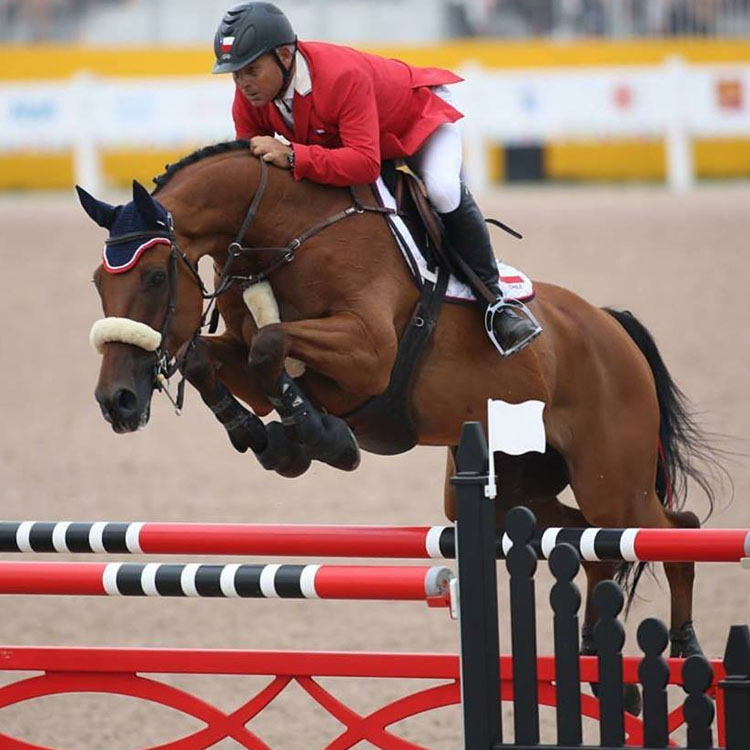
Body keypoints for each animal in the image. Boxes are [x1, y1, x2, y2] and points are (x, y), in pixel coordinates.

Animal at [78, 141, 724, 676]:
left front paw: (320, 439)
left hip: (613, 483)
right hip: (519, 488)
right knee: (584, 544)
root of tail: (612, 328)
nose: (117, 401)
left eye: (155, 276)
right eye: (98, 284)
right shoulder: (254, 361)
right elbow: (210, 360)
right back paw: (593, 654)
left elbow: (270, 346)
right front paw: (270, 441)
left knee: (673, 532)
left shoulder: (366, 354)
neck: (283, 235)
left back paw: (687, 646)